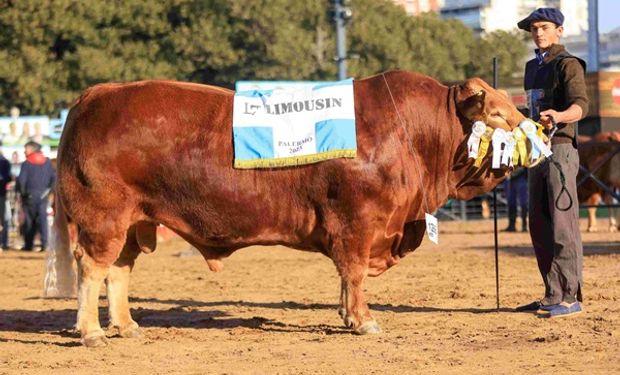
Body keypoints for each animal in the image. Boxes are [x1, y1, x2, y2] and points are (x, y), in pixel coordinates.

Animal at [52, 70, 524, 346]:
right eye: (499, 115)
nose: (540, 126)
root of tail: (98, 93)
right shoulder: (358, 222)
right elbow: (354, 273)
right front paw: (363, 320)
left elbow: (345, 277)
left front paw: (345, 315)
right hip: (103, 217)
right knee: (92, 266)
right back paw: (92, 332)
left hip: (134, 222)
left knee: (118, 269)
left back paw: (126, 325)